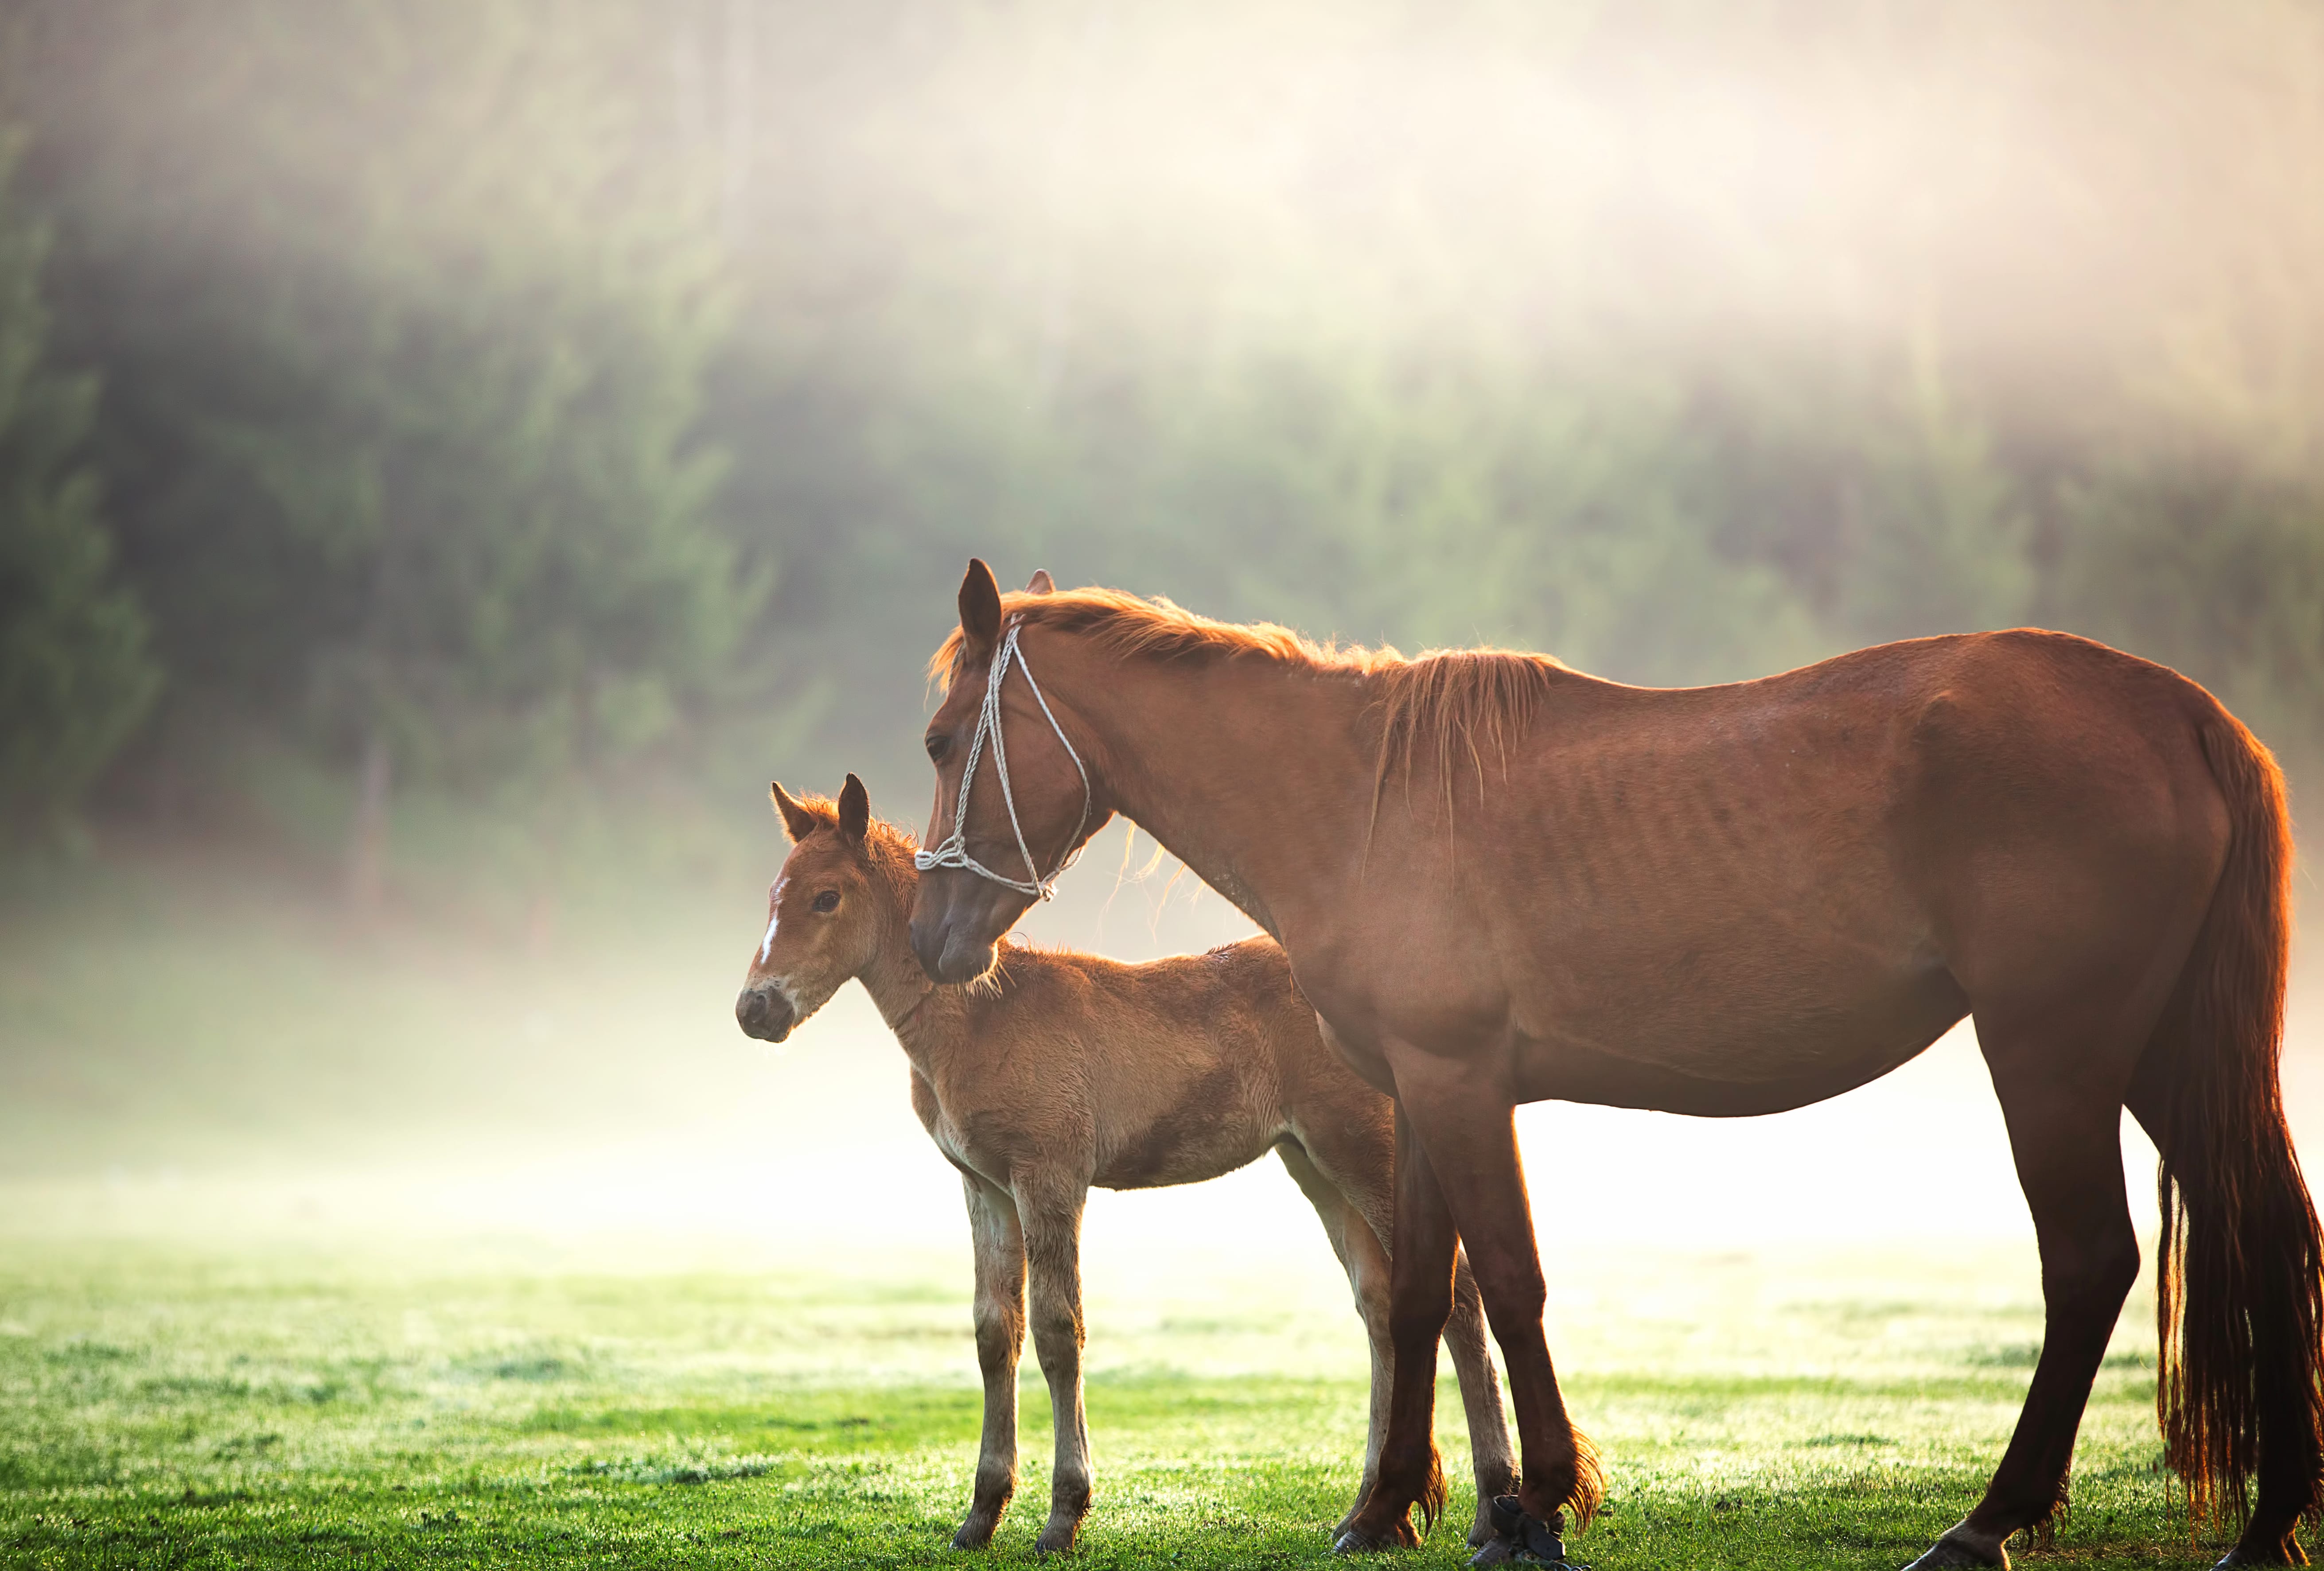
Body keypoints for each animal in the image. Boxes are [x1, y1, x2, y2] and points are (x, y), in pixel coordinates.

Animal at [734, 771, 1515, 1543]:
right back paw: (1368, 1513)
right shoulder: (985, 1187)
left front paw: (1063, 1513)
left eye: (826, 897)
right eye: (773, 893)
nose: (754, 1010)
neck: (982, 1017)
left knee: (1457, 1296)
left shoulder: (1049, 1177)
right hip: (1315, 1165)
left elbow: (1058, 1329)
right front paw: (981, 1513)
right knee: (1380, 1307)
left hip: (1361, 1149)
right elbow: (995, 1331)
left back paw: (1490, 1507)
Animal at [906, 564, 2324, 1571]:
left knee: (2088, 1263)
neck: (1363, 801)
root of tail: (2186, 715)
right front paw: (1389, 1508)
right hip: (2161, 1056)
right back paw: (2265, 1525)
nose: (933, 939)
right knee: (2267, 1233)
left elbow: (1510, 1282)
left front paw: (1532, 1504)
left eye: (939, 739)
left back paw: (1988, 1521)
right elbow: (1419, 1296)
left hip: (2051, 1052)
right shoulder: (1416, 1096)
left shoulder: (1463, 1084)